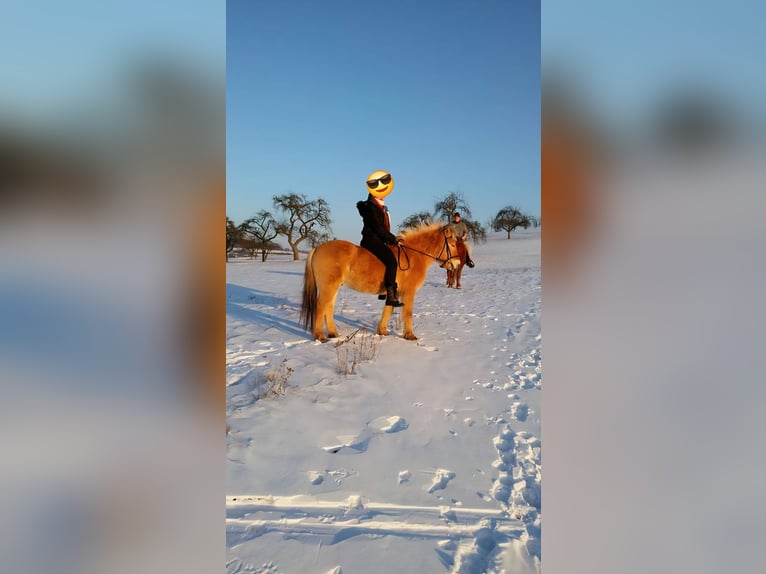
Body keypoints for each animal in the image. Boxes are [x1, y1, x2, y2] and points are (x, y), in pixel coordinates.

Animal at [300, 223, 461, 341]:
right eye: (452, 244)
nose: (457, 264)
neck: (414, 255)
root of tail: (317, 248)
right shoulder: (409, 292)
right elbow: (407, 313)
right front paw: (410, 335)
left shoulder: (394, 292)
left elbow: (388, 309)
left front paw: (382, 331)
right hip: (329, 287)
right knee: (321, 306)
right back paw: (320, 336)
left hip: (333, 287)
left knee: (329, 307)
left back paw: (333, 333)